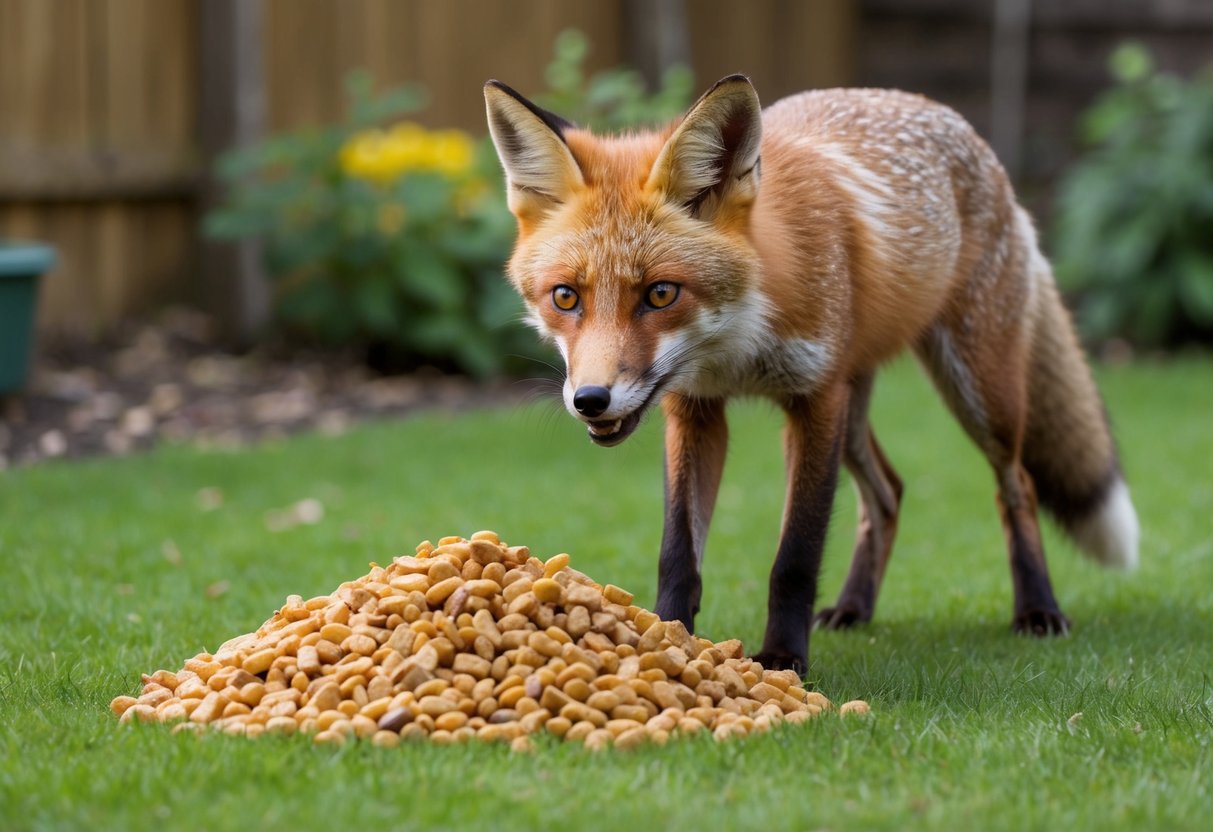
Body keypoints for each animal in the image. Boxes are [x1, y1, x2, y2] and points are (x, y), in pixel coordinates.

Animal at [483, 74, 1140, 673]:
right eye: (566, 297)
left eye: (661, 293)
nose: (591, 400)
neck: (737, 349)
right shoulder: (694, 410)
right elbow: (678, 555)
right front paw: (667, 641)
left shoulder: (815, 400)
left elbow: (795, 556)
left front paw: (782, 658)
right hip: (858, 404)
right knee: (888, 493)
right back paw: (855, 607)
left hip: (977, 390)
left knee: (1016, 484)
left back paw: (1038, 608)